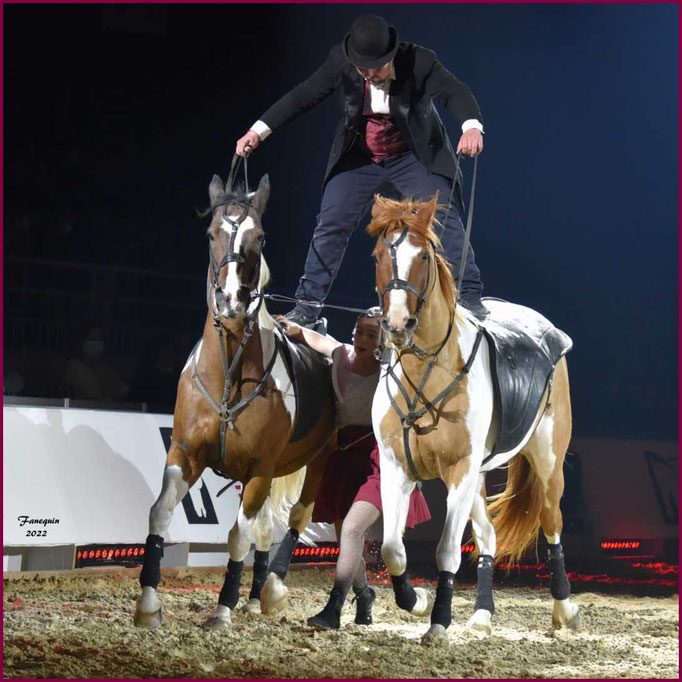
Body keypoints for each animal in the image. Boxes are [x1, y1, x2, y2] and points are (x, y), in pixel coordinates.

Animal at [133, 174, 334, 628]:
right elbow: (159, 512)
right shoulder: (184, 453)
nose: (230, 299)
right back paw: (257, 594)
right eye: (212, 234)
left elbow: (238, 536)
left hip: (317, 462)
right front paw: (148, 603)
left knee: (295, 518)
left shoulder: (259, 468)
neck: (227, 373)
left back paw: (272, 589)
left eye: (260, 236)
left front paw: (223, 608)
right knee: (265, 529)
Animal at [366, 194, 580, 640]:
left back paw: (564, 608)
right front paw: (417, 601)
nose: (397, 325)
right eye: (378, 255)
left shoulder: (459, 471)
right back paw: (482, 612)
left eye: (424, 256)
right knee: (487, 534)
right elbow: (393, 550)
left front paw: (439, 621)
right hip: (479, 478)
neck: (428, 371)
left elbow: (447, 550)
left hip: (548, 463)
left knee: (552, 523)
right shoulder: (398, 468)